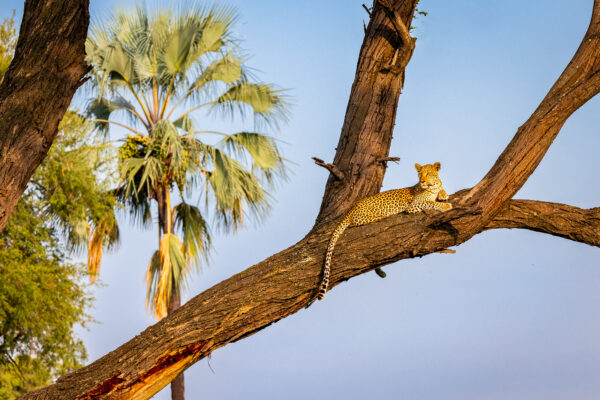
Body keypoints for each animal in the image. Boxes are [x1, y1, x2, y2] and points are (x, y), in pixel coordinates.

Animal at [314, 162, 450, 304]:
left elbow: (440, 190)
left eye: (428, 173)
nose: (422, 181)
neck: (432, 187)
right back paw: (383, 216)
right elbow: (430, 202)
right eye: (420, 174)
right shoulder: (413, 206)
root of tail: (351, 209)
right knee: (360, 221)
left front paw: (443, 194)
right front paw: (446, 206)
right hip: (365, 215)